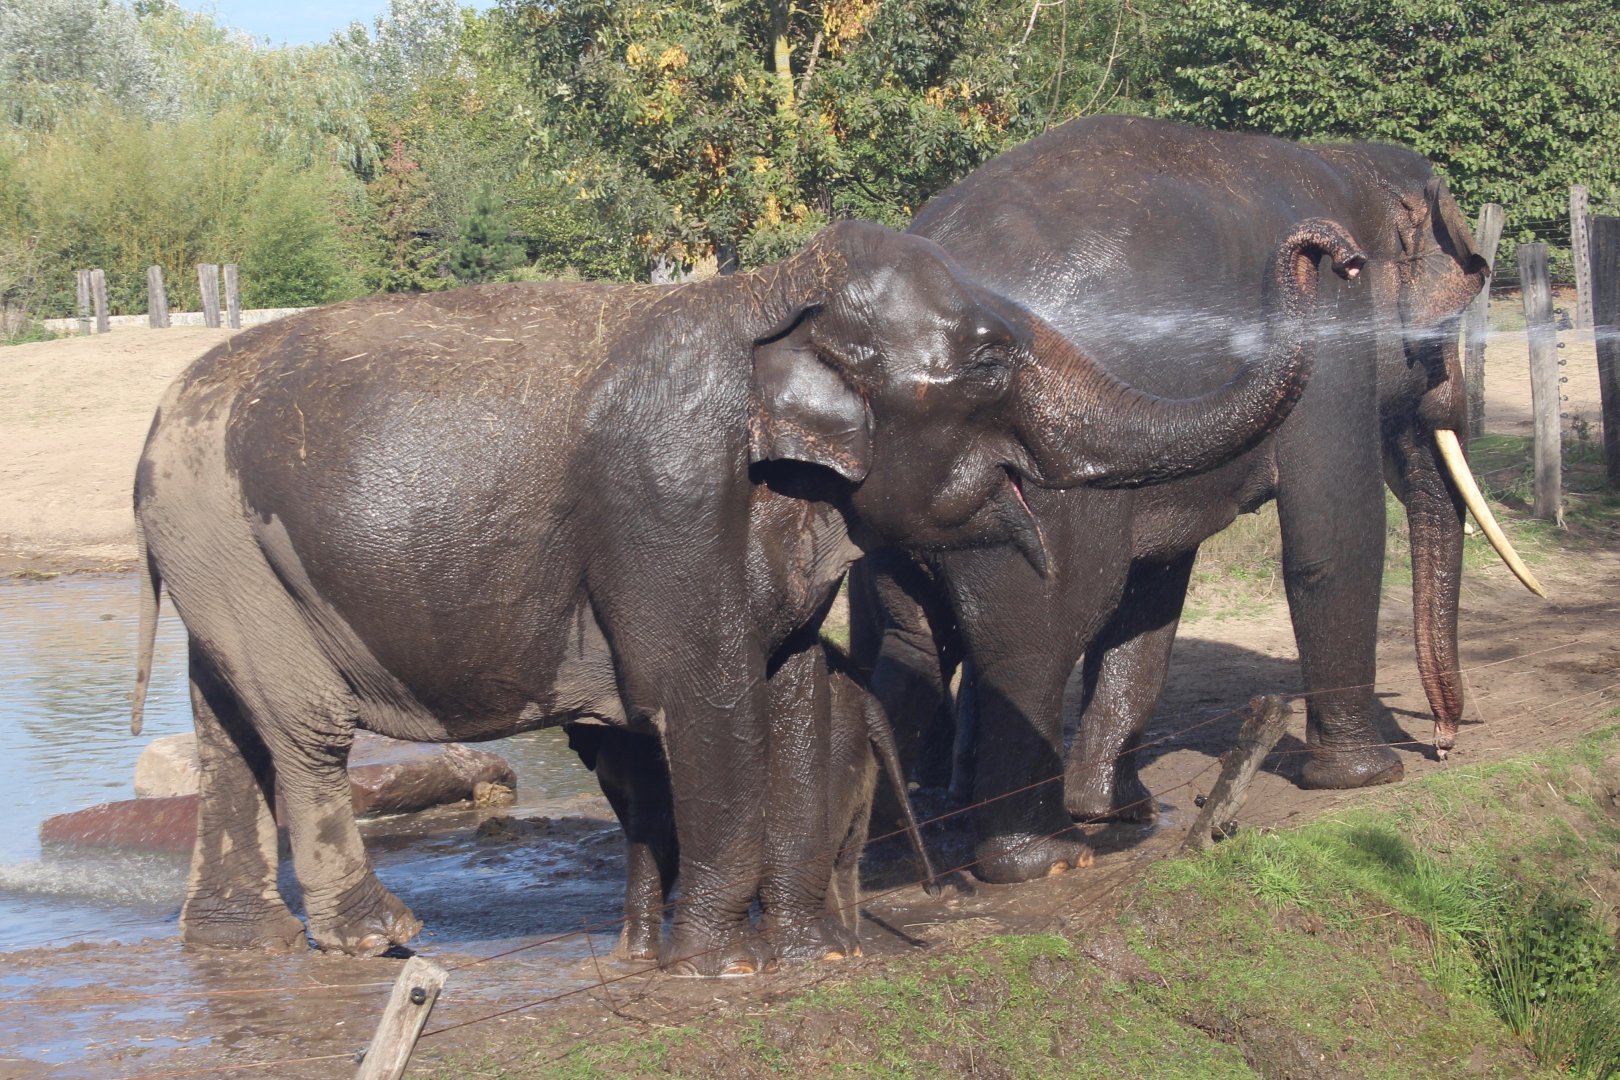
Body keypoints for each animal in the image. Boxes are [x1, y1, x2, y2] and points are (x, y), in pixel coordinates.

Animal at [566, 640, 937, 961]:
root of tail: (867, 700)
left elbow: (654, 827)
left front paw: (632, 956)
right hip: (856, 758)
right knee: (846, 860)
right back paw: (848, 940)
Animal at [851, 115, 1540, 884]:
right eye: (1444, 332)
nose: (1446, 743)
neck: (1346, 163)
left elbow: (1153, 591)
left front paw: (1124, 811)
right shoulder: (1333, 333)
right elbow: (1334, 538)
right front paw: (1367, 777)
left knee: (913, 637)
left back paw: (891, 848)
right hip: (1031, 495)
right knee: (1033, 644)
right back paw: (1038, 859)